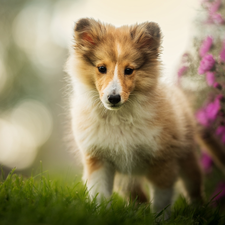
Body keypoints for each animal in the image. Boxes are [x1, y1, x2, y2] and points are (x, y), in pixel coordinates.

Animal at [65, 18, 225, 213]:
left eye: (129, 70)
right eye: (101, 68)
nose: (113, 98)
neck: (119, 117)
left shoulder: (162, 159)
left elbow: (161, 200)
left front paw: (160, 218)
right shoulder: (98, 159)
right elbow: (100, 195)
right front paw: (102, 214)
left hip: (187, 157)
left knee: (193, 188)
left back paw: (198, 210)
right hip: (126, 179)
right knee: (137, 197)